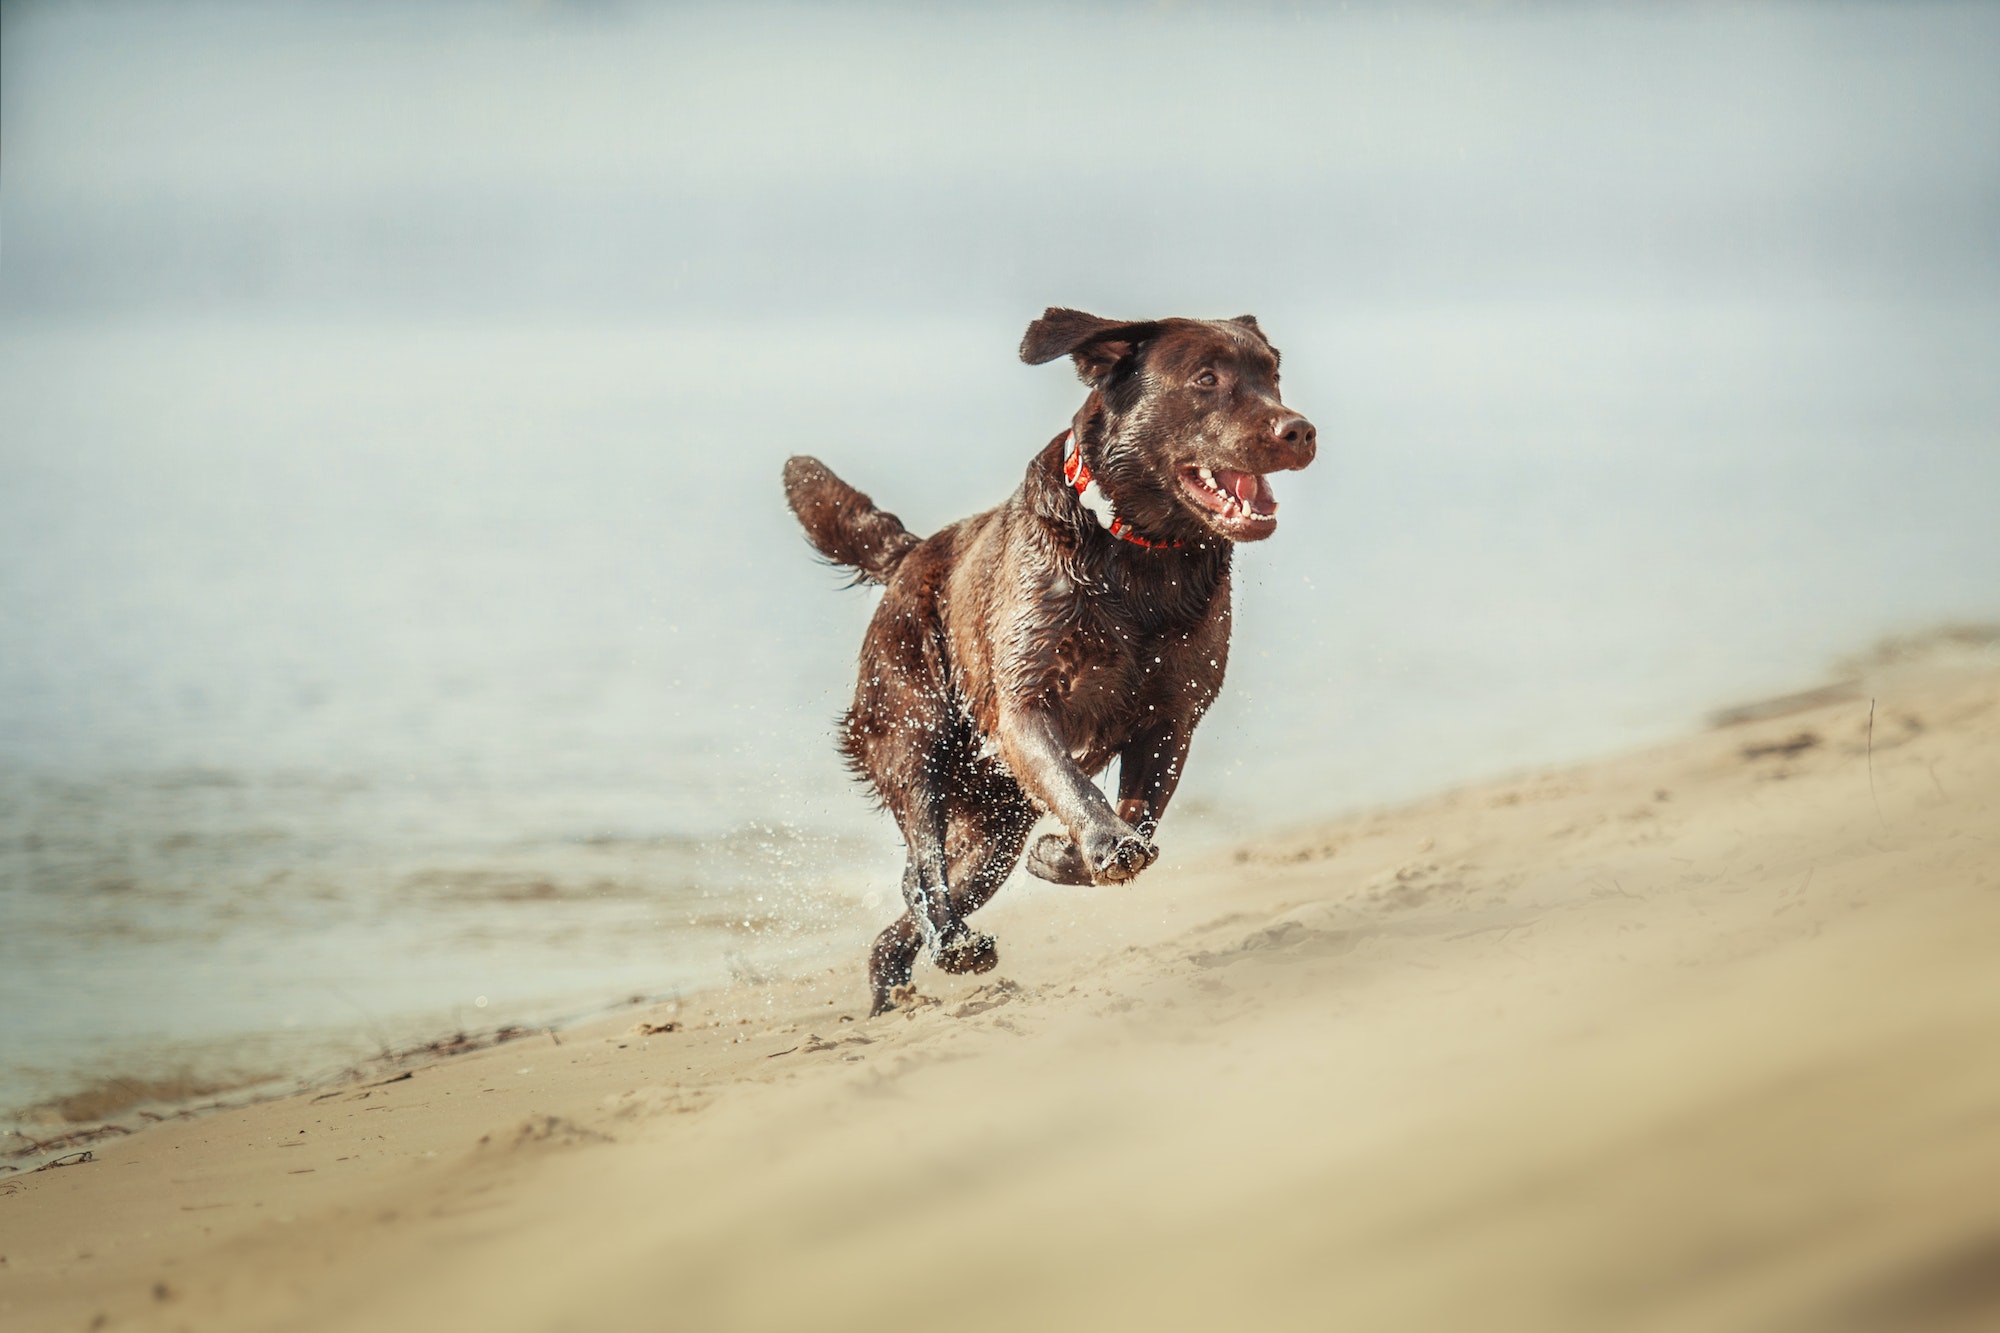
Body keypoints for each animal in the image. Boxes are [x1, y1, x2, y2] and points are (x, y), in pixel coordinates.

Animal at [780, 308, 1312, 1008]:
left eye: (1272, 374)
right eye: (1206, 379)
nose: (1298, 429)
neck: (1137, 559)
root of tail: (909, 556)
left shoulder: (1172, 718)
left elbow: (1144, 815)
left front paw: (1070, 855)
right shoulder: (1026, 704)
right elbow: (1078, 786)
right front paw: (1104, 843)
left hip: (997, 824)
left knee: (915, 898)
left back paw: (899, 981)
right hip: (913, 736)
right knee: (922, 864)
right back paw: (955, 946)